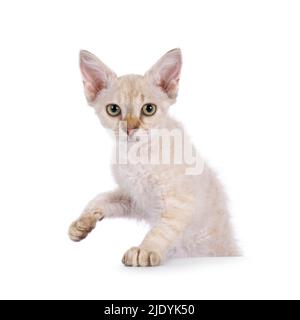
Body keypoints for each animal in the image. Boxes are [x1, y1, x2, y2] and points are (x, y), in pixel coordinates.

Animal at [68, 48, 239, 266]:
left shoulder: (182, 201)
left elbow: (162, 229)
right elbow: (102, 198)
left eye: (149, 109)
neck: (137, 155)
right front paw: (83, 222)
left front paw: (145, 250)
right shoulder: (134, 198)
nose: (130, 129)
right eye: (113, 109)